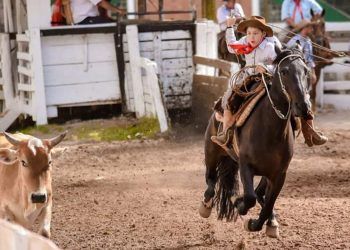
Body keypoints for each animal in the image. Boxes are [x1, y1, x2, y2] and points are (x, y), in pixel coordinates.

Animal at [198, 45, 310, 238]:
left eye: (306, 71)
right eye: (284, 71)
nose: (303, 106)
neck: (270, 130)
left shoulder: (279, 174)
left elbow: (267, 203)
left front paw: (257, 223)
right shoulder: (245, 166)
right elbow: (249, 198)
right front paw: (239, 203)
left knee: (259, 194)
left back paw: (271, 221)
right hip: (211, 152)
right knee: (211, 181)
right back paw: (205, 206)